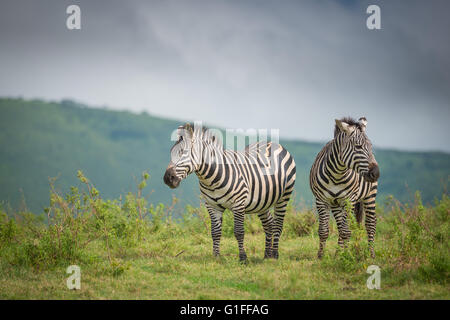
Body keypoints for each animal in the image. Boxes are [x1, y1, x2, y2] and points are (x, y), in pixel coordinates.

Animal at [163, 124, 298, 262]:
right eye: (171, 153)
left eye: (183, 152)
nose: (167, 179)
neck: (211, 179)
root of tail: (272, 143)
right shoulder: (212, 205)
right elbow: (215, 232)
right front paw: (216, 257)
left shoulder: (238, 203)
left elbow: (239, 232)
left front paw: (243, 258)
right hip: (262, 202)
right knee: (269, 224)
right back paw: (267, 255)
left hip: (284, 196)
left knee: (278, 225)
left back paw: (275, 255)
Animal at [310, 116, 380, 258]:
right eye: (358, 146)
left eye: (370, 147)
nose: (376, 174)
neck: (336, 175)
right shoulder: (321, 200)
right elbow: (324, 230)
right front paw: (321, 256)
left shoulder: (349, 200)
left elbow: (346, 231)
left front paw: (347, 256)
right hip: (336, 204)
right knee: (340, 226)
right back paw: (338, 253)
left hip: (370, 196)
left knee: (370, 223)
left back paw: (371, 254)